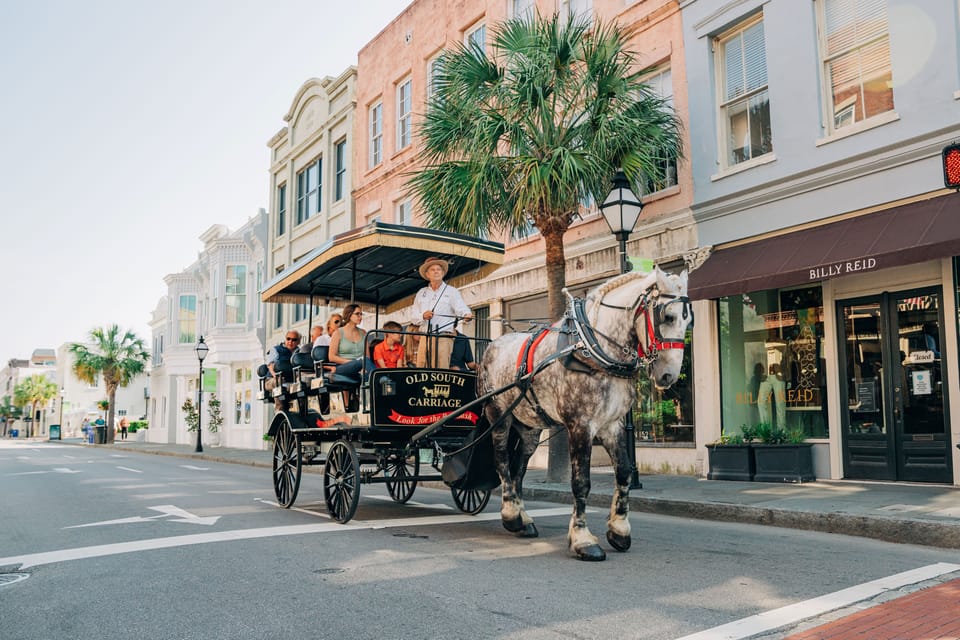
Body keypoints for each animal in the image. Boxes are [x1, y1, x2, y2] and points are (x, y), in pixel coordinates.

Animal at [478, 268, 688, 560]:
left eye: (688, 319)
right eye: (667, 317)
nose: (669, 375)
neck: (594, 349)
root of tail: (491, 345)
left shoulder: (612, 424)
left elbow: (624, 471)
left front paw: (619, 530)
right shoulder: (580, 425)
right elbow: (581, 482)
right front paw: (583, 539)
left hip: (529, 426)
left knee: (519, 467)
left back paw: (523, 519)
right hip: (498, 413)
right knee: (502, 462)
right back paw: (510, 515)